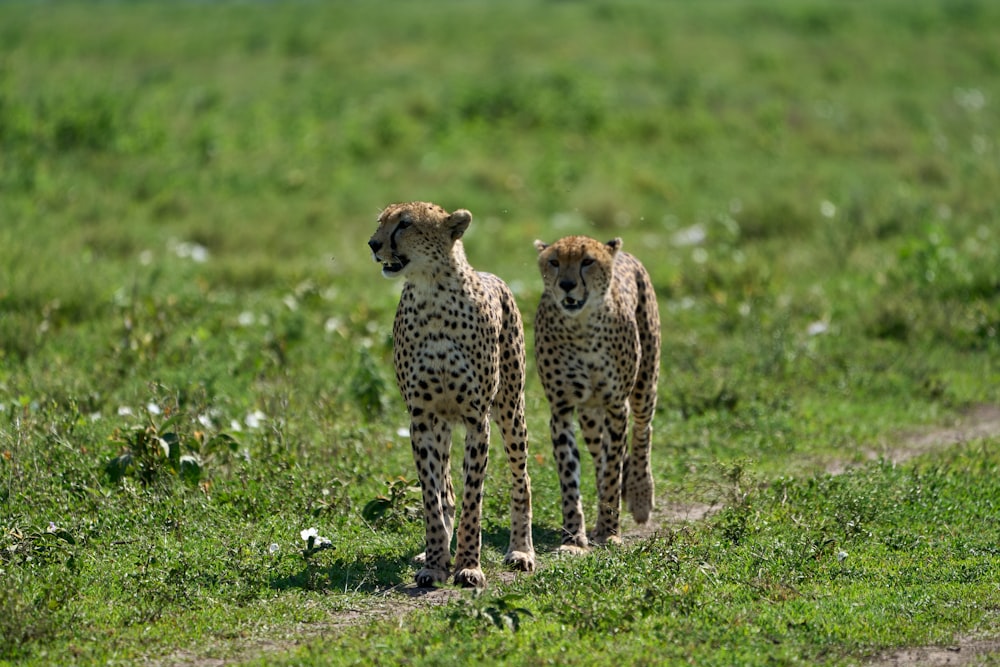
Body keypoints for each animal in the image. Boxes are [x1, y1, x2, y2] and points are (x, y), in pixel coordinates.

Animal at [368, 201, 536, 588]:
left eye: (405, 224)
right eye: (381, 221)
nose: (373, 244)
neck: (432, 292)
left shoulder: (476, 419)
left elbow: (474, 496)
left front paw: (469, 566)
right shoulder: (422, 418)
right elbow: (432, 494)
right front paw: (434, 563)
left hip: (511, 410)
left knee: (521, 479)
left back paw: (521, 551)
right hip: (443, 424)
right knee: (446, 488)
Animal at [532, 237, 664, 552]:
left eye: (587, 261)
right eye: (554, 262)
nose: (567, 285)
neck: (581, 327)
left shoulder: (617, 406)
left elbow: (614, 469)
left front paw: (609, 531)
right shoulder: (562, 409)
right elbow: (570, 474)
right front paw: (573, 538)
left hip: (644, 384)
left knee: (643, 431)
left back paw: (640, 496)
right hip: (590, 416)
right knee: (599, 456)